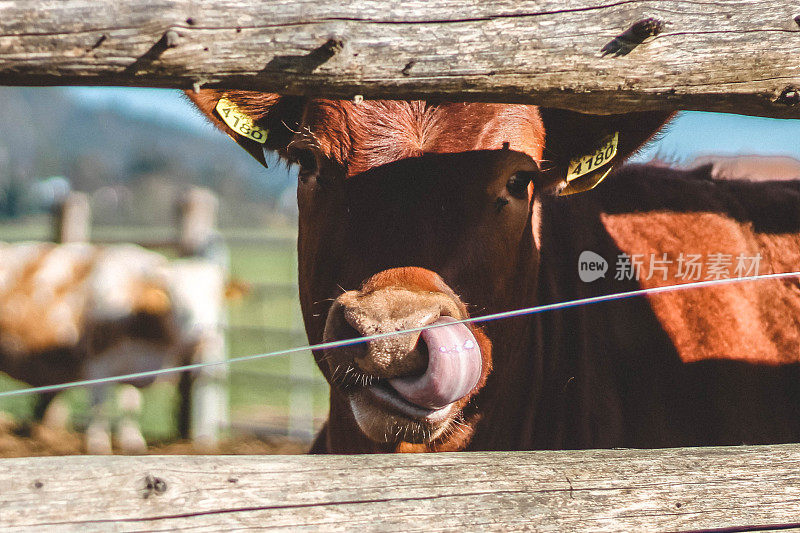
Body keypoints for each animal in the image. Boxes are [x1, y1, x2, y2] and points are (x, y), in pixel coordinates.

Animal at [0, 241, 228, 454]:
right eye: (176, 298)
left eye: (216, 297)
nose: (205, 332)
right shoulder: (98, 363)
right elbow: (99, 406)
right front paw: (98, 444)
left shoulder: (131, 365)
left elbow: (130, 404)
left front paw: (133, 442)